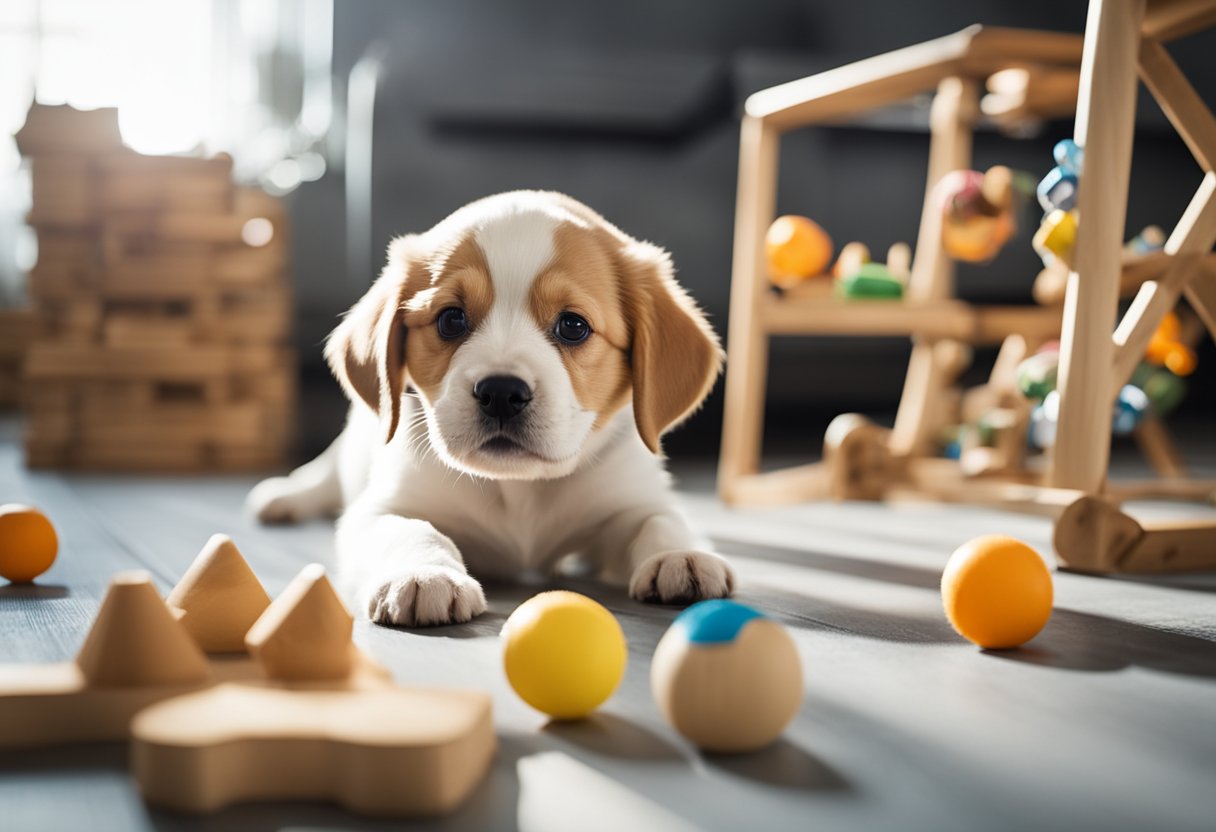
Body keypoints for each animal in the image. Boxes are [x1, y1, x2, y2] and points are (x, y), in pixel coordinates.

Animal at [241, 192, 724, 627]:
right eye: (451, 319)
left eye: (573, 326)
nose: (501, 393)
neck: (519, 488)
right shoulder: (379, 509)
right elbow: (413, 528)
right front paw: (424, 574)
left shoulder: (630, 498)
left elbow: (661, 519)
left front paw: (682, 555)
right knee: (327, 468)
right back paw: (286, 495)